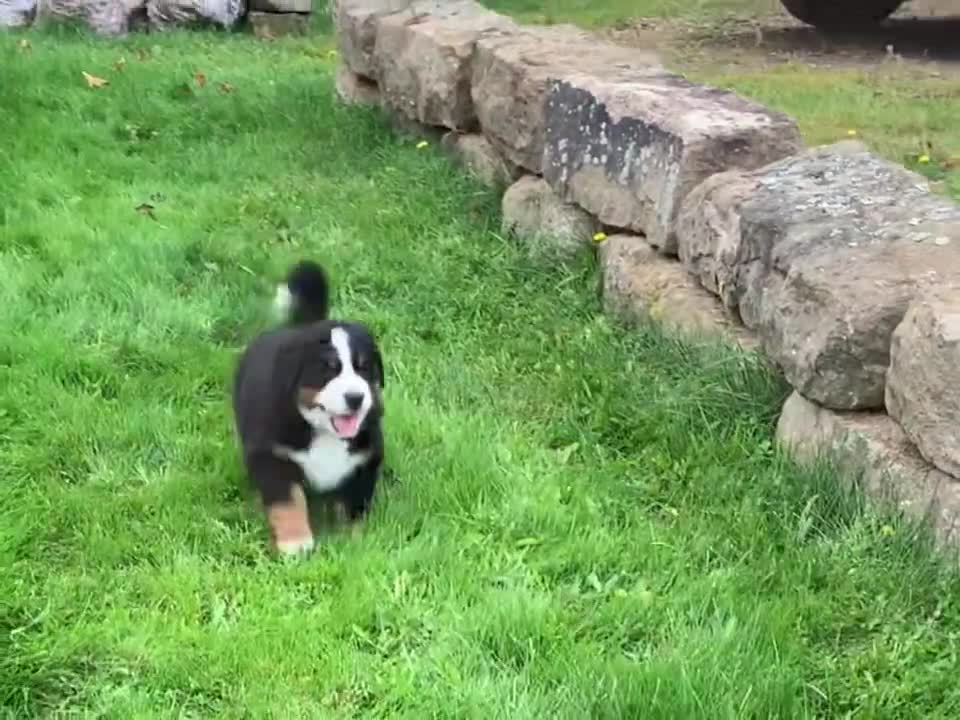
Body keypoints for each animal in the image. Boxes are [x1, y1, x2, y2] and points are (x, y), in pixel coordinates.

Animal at [231, 262, 384, 560]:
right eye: (328, 369)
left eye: (364, 367)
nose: (356, 398)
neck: (323, 430)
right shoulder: (274, 456)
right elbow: (288, 502)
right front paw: (295, 544)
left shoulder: (365, 460)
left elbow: (354, 507)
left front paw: (354, 543)